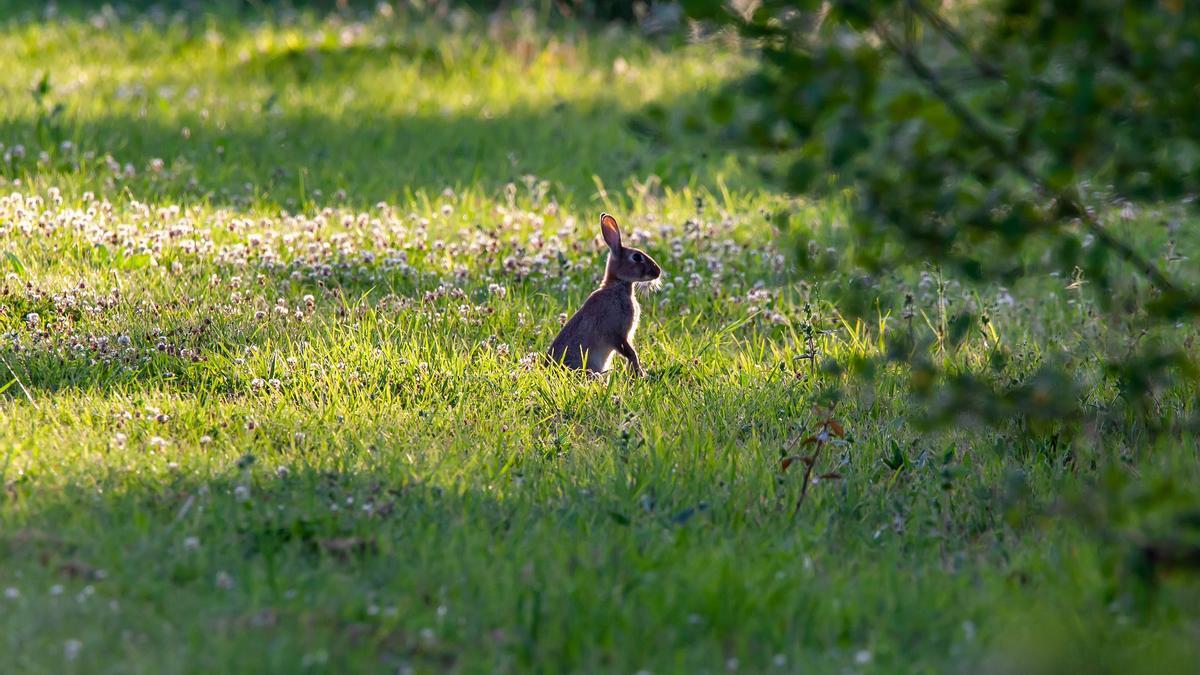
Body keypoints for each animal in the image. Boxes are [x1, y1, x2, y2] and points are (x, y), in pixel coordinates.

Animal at [549, 213, 662, 374]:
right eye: (636, 257)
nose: (658, 271)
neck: (617, 284)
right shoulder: (616, 334)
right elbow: (630, 353)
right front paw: (639, 372)